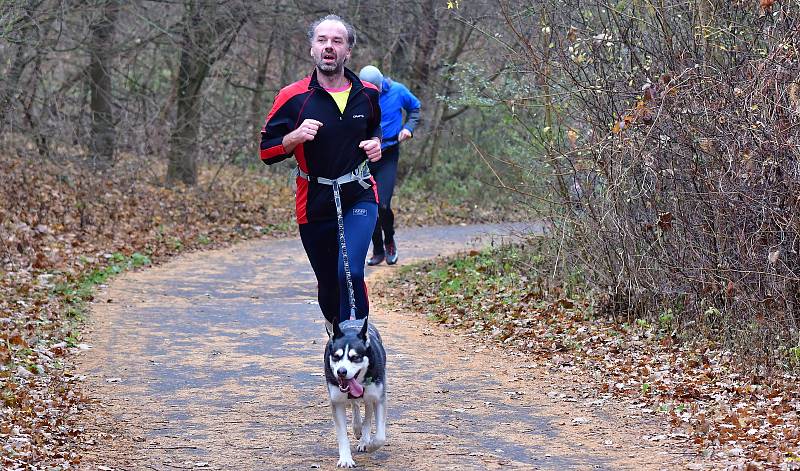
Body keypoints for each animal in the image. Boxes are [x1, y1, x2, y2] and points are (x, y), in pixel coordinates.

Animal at [324, 318, 388, 468]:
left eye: (355, 357)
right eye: (336, 356)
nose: (341, 372)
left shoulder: (378, 398)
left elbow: (380, 437)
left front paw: (370, 445)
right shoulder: (337, 402)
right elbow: (342, 435)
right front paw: (346, 459)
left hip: (370, 397)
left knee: (367, 413)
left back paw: (364, 438)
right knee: (355, 405)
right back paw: (357, 427)